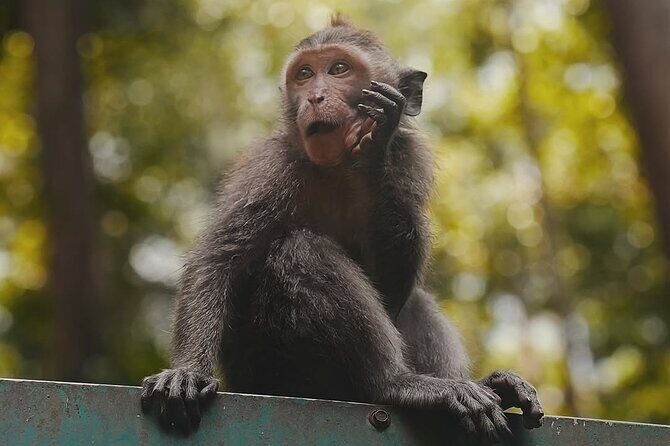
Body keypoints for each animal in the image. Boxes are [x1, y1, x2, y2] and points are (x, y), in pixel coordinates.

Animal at [140, 15, 544, 442]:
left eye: (338, 69)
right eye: (304, 74)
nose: (316, 97)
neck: (336, 167)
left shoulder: (409, 160)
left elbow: (392, 288)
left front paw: (375, 143)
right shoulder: (271, 168)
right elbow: (218, 258)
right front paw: (186, 371)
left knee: (414, 302)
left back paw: (490, 387)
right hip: (276, 368)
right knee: (301, 251)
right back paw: (396, 383)